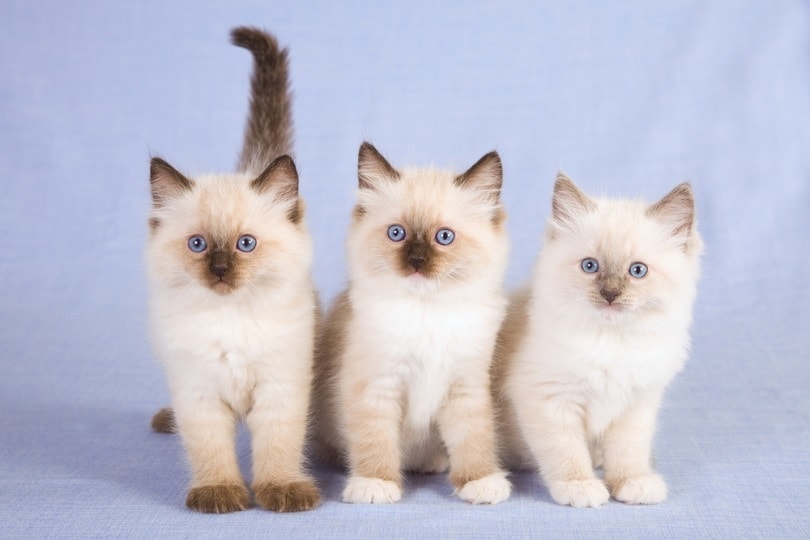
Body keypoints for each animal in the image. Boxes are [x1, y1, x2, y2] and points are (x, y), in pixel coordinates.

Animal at [310, 141, 508, 504]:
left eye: (444, 237)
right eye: (397, 234)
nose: (416, 261)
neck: (425, 312)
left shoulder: (465, 387)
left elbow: (474, 438)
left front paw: (480, 481)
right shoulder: (377, 386)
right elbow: (375, 441)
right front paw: (376, 484)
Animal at [492, 173, 700, 506]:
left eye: (637, 271)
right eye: (590, 266)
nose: (610, 294)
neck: (612, 341)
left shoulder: (637, 405)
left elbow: (629, 452)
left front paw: (633, 482)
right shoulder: (549, 399)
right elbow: (566, 452)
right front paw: (580, 487)